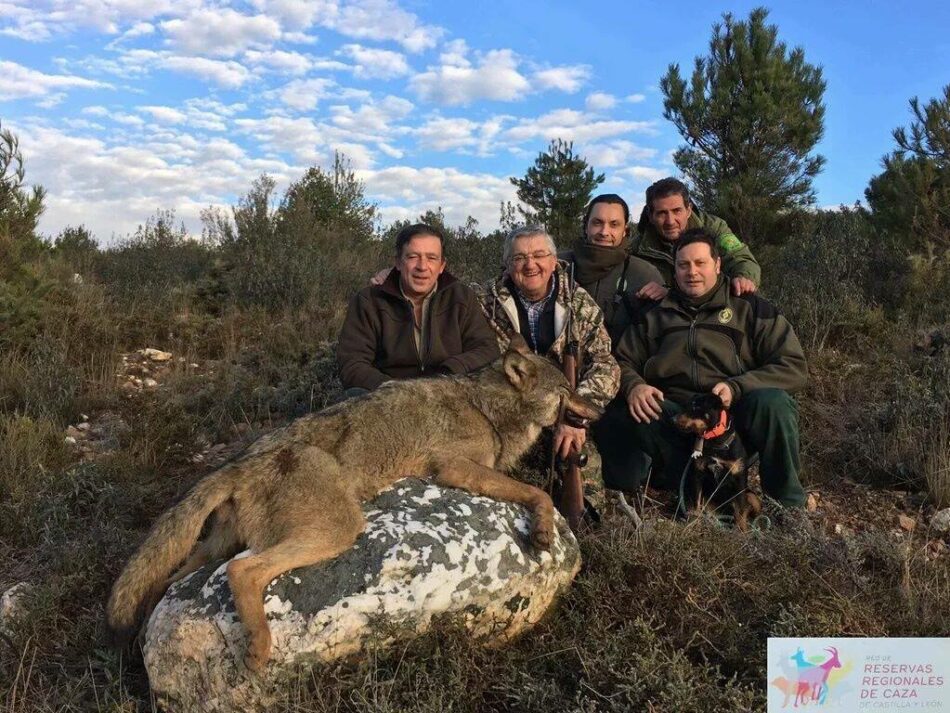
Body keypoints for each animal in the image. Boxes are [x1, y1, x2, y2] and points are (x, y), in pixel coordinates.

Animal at [106, 336, 604, 672]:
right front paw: (543, 530)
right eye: (567, 389)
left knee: (168, 579)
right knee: (243, 571)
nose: (598, 409)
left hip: (214, 548)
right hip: (339, 529)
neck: (487, 407)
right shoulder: (456, 469)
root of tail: (240, 464)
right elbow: (539, 492)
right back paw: (259, 649)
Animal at [672, 394, 764, 528]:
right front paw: (695, 522)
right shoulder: (698, 475)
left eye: (696, 407)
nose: (672, 419)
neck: (714, 440)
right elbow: (696, 503)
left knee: (747, 510)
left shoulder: (739, 478)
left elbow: (741, 508)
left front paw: (742, 529)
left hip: (752, 497)